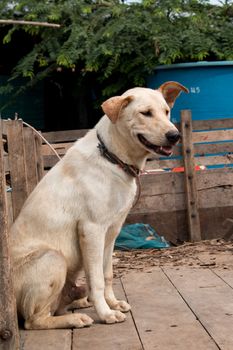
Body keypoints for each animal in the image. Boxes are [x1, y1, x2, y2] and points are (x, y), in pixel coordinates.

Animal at [10, 81, 187, 328]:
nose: (174, 135)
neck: (111, 157)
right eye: (145, 113)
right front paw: (105, 313)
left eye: (167, 111)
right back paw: (76, 318)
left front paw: (113, 304)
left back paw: (77, 303)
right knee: (34, 320)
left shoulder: (111, 231)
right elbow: (96, 281)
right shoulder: (91, 230)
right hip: (53, 257)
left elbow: (107, 274)